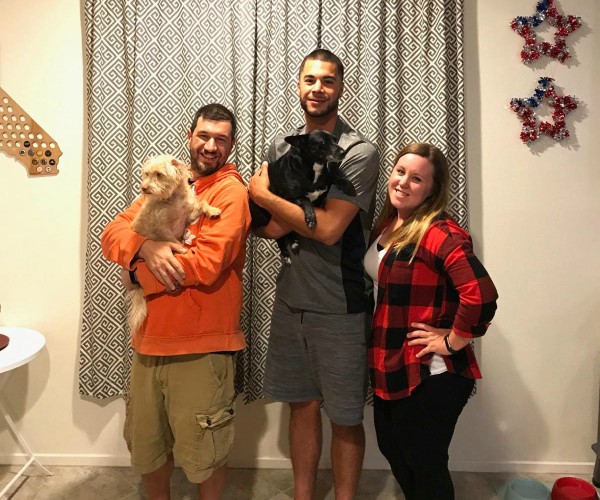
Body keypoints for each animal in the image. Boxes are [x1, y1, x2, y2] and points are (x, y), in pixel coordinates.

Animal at [127, 155, 221, 336]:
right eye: (146, 174)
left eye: (159, 174)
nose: (143, 188)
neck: (172, 198)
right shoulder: (162, 227)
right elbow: (174, 242)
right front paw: (182, 249)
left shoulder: (188, 215)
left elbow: (202, 203)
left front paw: (212, 209)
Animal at [250, 129, 356, 264]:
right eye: (322, 142)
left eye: (336, 140)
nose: (343, 152)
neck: (314, 169)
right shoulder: (289, 196)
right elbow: (305, 200)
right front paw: (311, 218)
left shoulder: (324, 182)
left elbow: (333, 177)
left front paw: (347, 185)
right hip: (264, 216)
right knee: (279, 237)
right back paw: (287, 251)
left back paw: (293, 243)